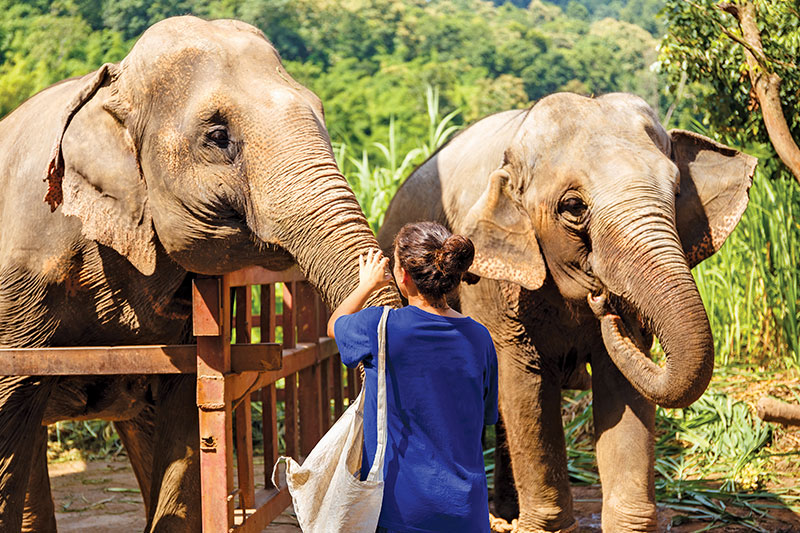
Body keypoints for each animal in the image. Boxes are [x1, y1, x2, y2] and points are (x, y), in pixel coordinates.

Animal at [378, 92, 756, 532]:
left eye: (677, 190)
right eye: (573, 207)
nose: (605, 303)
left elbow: (622, 384)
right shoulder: (491, 286)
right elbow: (524, 386)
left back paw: (507, 512)